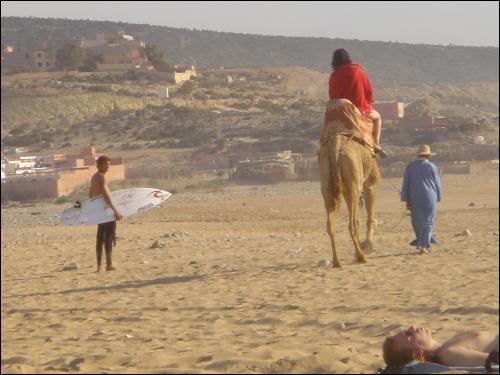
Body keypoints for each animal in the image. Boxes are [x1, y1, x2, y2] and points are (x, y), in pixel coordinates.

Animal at [318, 98, 380, 268]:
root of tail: (336, 146)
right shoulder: (369, 183)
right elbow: (369, 215)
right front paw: (368, 245)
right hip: (353, 185)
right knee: (352, 224)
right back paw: (361, 256)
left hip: (327, 185)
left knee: (330, 225)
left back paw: (337, 261)